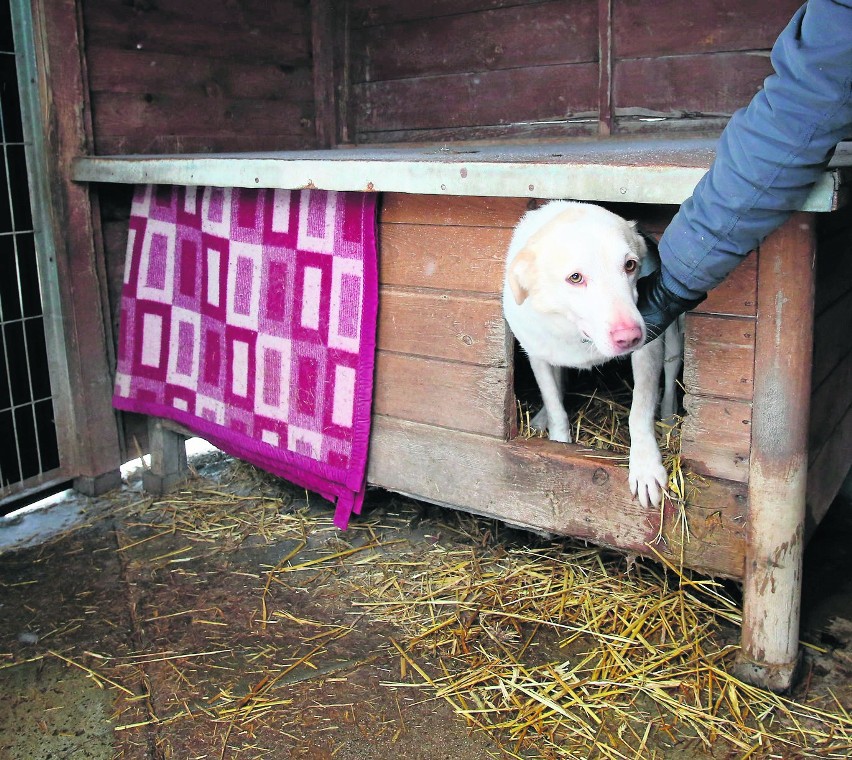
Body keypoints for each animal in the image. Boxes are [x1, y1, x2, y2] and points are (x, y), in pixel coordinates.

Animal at [506, 200, 680, 504]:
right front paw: (559, 443)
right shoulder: (537, 353)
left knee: (670, 378)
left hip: (673, 343)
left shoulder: (648, 350)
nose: (630, 336)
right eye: (575, 277)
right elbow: (555, 404)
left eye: (630, 265)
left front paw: (645, 465)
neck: (578, 334)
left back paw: (669, 419)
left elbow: (640, 410)